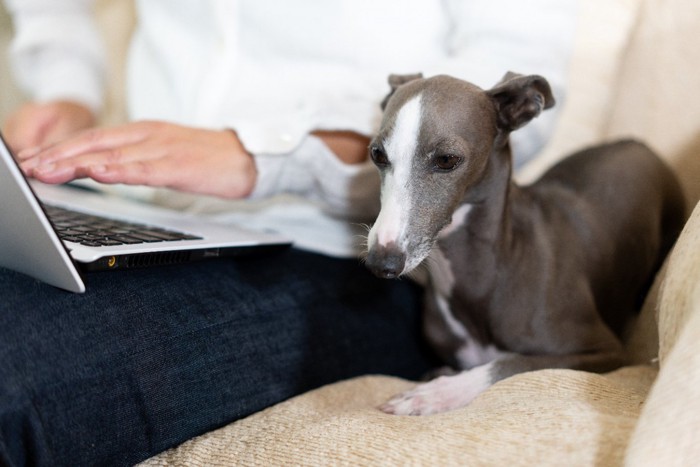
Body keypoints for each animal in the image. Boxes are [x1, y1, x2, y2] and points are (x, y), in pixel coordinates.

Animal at [364, 73, 688, 416]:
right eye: (377, 154)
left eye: (447, 160)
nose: (381, 262)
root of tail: (639, 144)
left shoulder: (604, 352)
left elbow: (511, 364)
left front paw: (436, 393)